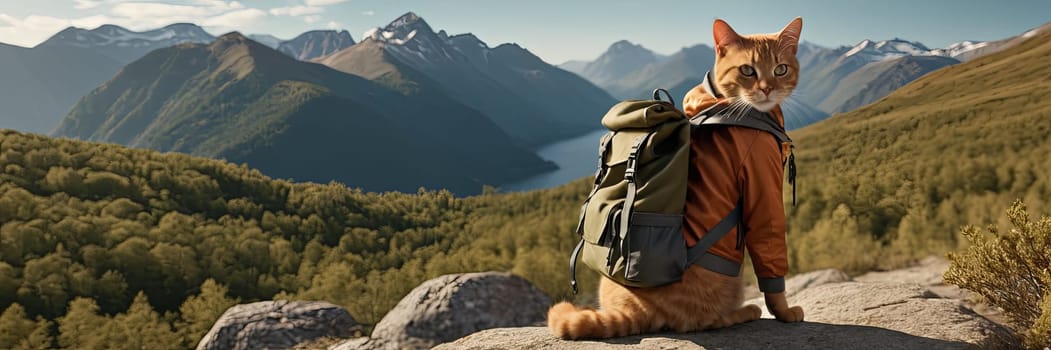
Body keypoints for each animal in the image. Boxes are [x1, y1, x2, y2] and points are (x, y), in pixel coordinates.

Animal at [550, 17, 802, 338]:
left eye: (780, 69)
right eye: (748, 70)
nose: (768, 89)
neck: (719, 101)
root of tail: (639, 310)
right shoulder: (762, 185)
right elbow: (770, 249)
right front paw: (783, 311)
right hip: (732, 281)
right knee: (704, 322)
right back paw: (746, 311)